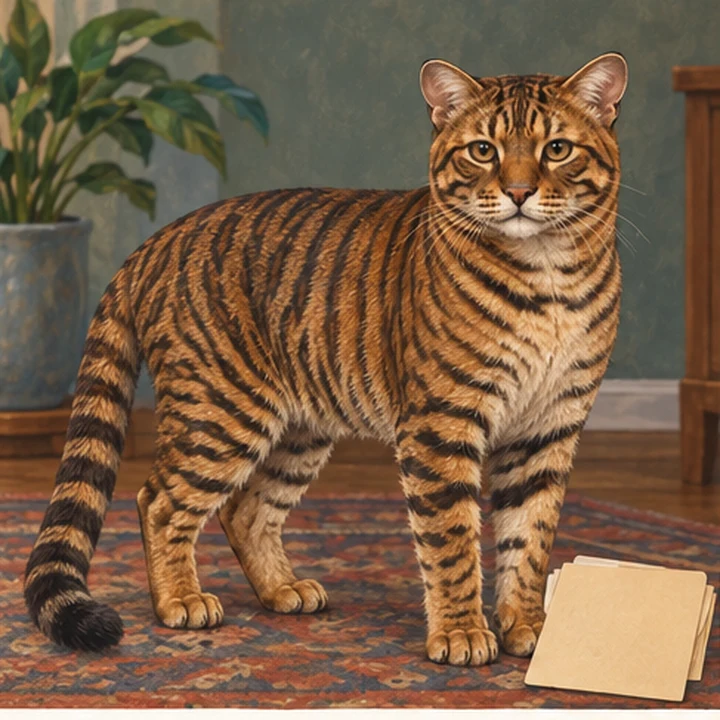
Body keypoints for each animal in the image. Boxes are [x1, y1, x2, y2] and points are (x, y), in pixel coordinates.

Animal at [24, 52, 627, 666]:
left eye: (557, 148)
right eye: (483, 150)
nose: (520, 191)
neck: (548, 275)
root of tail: (158, 237)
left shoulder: (548, 427)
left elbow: (529, 538)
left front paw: (528, 625)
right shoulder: (443, 422)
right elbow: (452, 537)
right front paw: (460, 632)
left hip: (299, 428)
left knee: (245, 510)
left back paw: (282, 589)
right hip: (220, 413)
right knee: (159, 500)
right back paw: (180, 600)